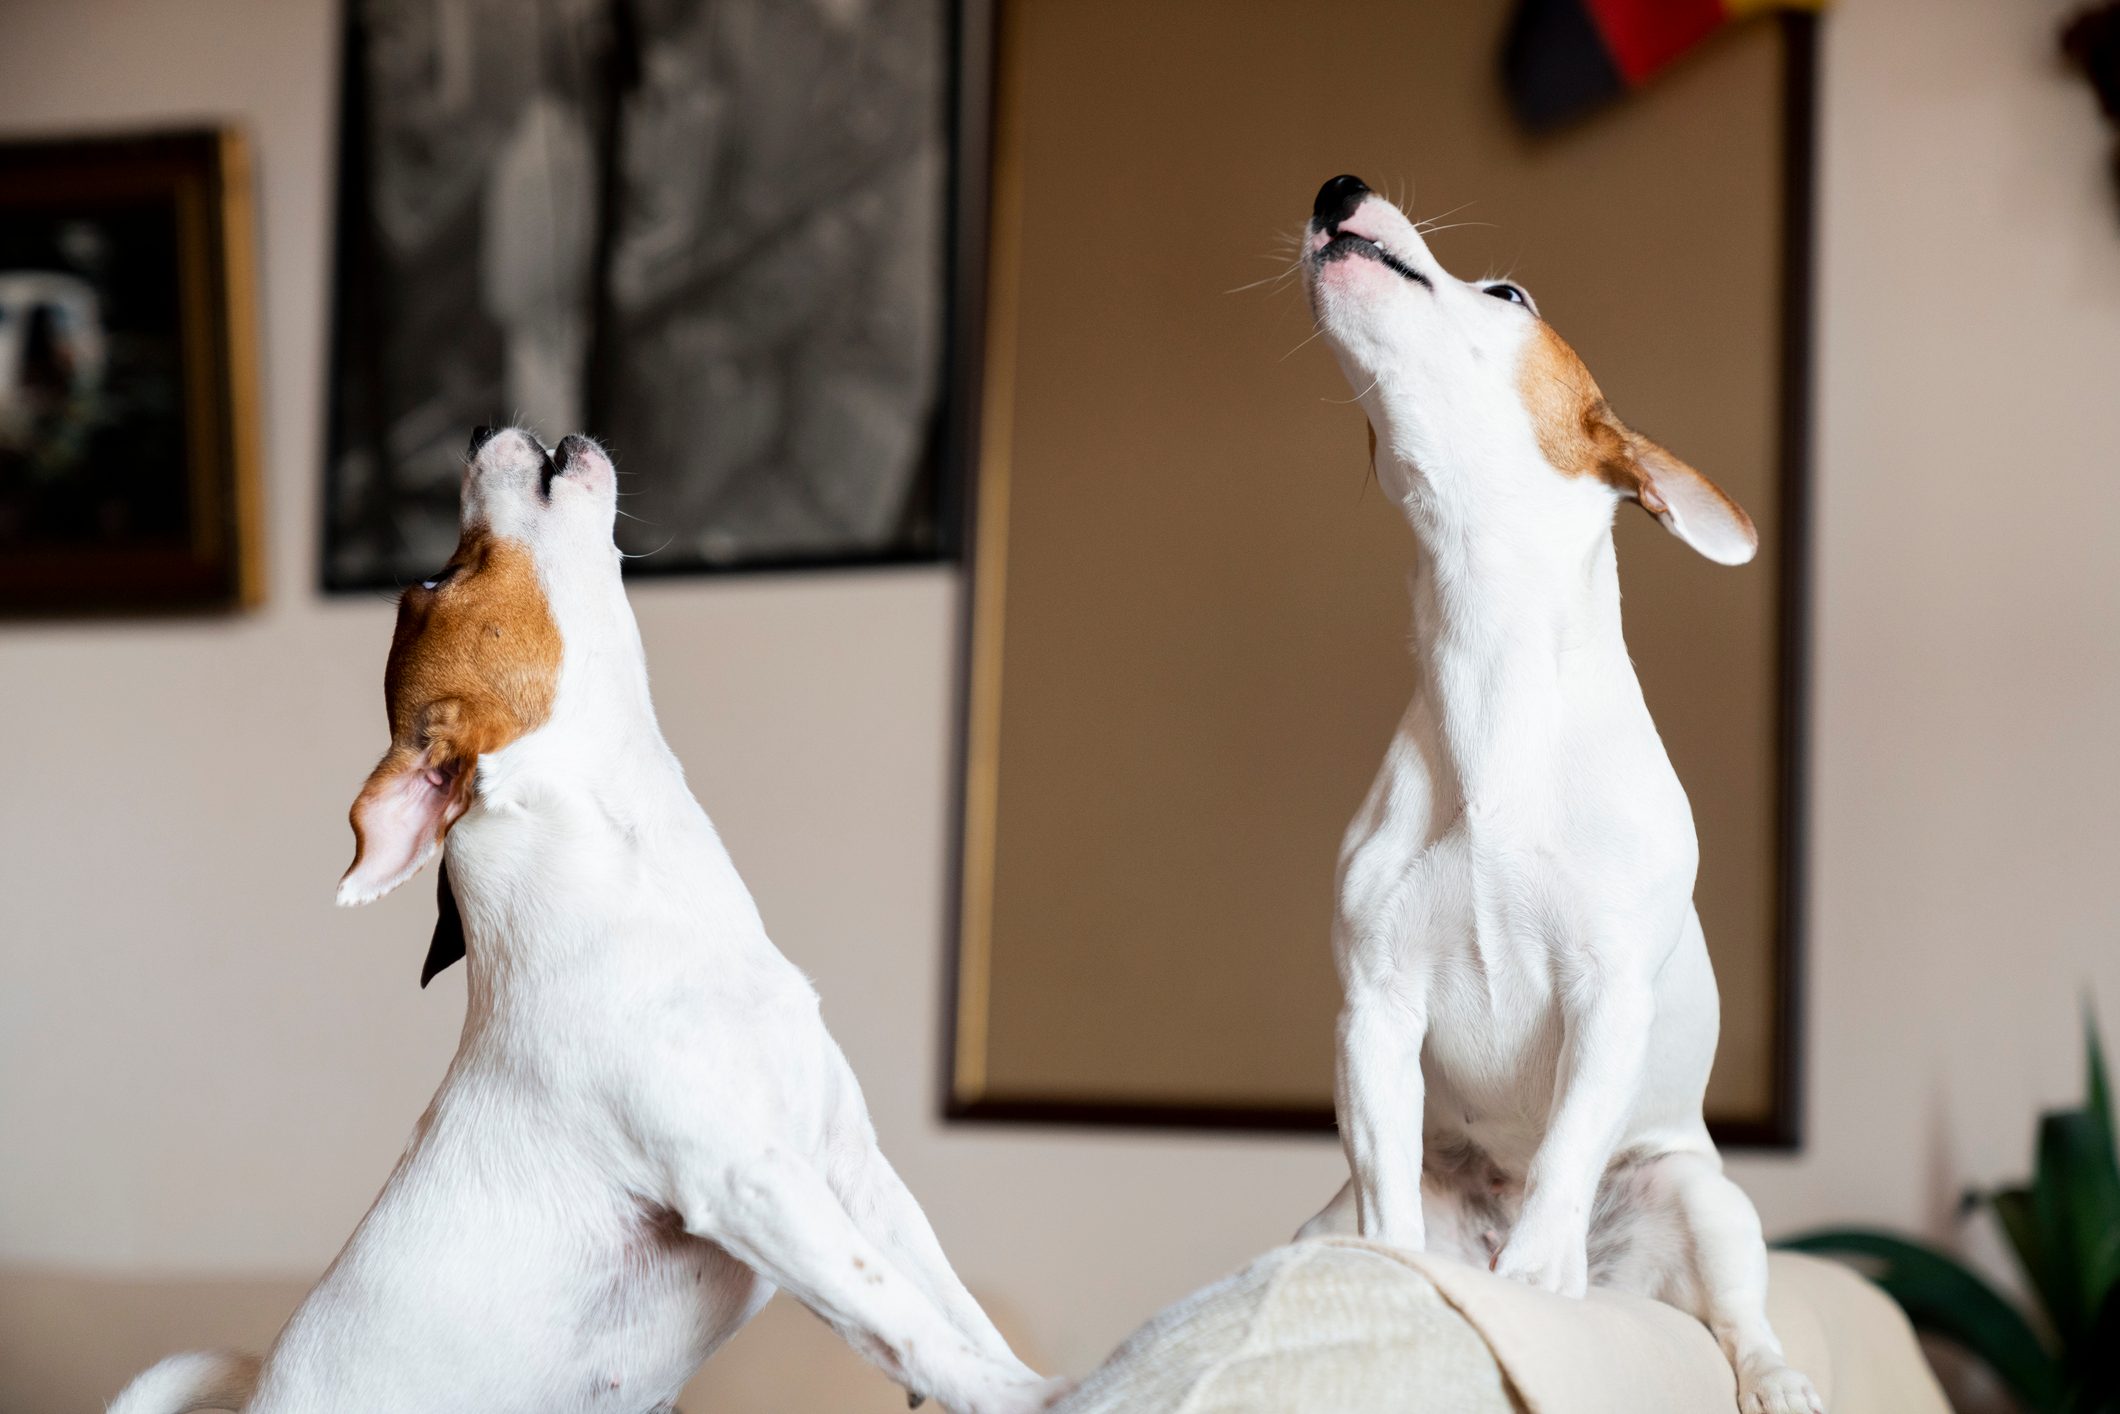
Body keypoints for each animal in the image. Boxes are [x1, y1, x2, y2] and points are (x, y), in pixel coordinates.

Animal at [113, 426, 1060, 1414]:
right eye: (435, 579)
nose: (483, 430)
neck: (655, 904)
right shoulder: (750, 1177)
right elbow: (901, 1317)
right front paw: (1032, 1394)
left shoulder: (854, 1167)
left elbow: (951, 1307)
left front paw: (1019, 1378)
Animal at [1288, 177, 1823, 1414]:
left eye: (1508, 293)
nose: (1336, 188)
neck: (1487, 669)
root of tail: (1625, 1280)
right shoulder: (1373, 1007)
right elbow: (1382, 1172)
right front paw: (1405, 1271)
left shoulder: (1605, 997)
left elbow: (1571, 1144)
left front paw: (1533, 1276)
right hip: (1326, 1215)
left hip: (1703, 1200)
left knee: (1737, 1317)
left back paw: (1758, 1370)